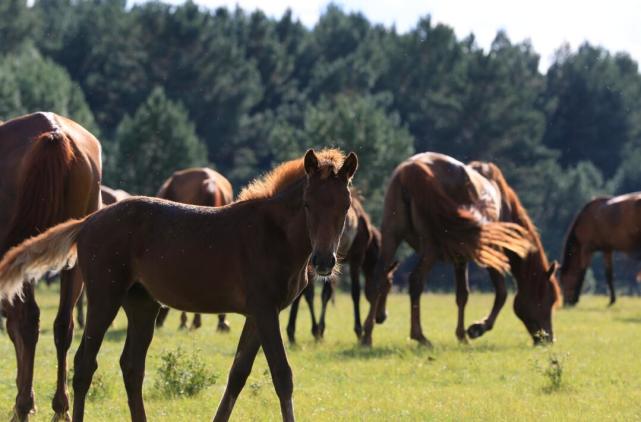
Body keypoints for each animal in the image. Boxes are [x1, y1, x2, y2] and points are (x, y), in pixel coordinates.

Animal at [0, 112, 101, 422]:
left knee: (29, 322)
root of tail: (53, 131)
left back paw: (23, 406)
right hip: (73, 260)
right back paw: (60, 407)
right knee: (62, 326)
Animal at [286, 193, 396, 342]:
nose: (382, 317)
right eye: (388, 285)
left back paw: (294, 332)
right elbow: (354, 293)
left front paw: (318, 330)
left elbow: (325, 293)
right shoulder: (356, 258)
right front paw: (357, 330)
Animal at [360, 153, 560, 348]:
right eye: (547, 300)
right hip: (430, 249)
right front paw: (477, 328)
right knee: (416, 281)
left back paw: (367, 336)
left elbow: (462, 295)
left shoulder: (460, 258)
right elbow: (501, 293)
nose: (548, 339)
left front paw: (462, 335)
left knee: (378, 277)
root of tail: (411, 171)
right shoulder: (491, 251)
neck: (503, 203)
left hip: (391, 237)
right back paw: (420, 337)